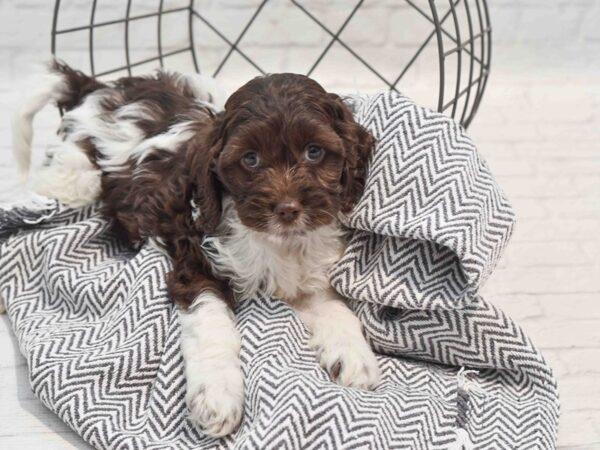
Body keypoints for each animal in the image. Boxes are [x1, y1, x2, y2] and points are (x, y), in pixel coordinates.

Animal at [12, 59, 380, 436]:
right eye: (250, 159)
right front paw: (217, 395)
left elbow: (335, 308)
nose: (288, 209)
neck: (279, 241)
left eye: (314, 152)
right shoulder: (196, 264)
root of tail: (98, 87)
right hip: (75, 177)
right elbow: (211, 324)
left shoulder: (305, 277)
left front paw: (355, 357)